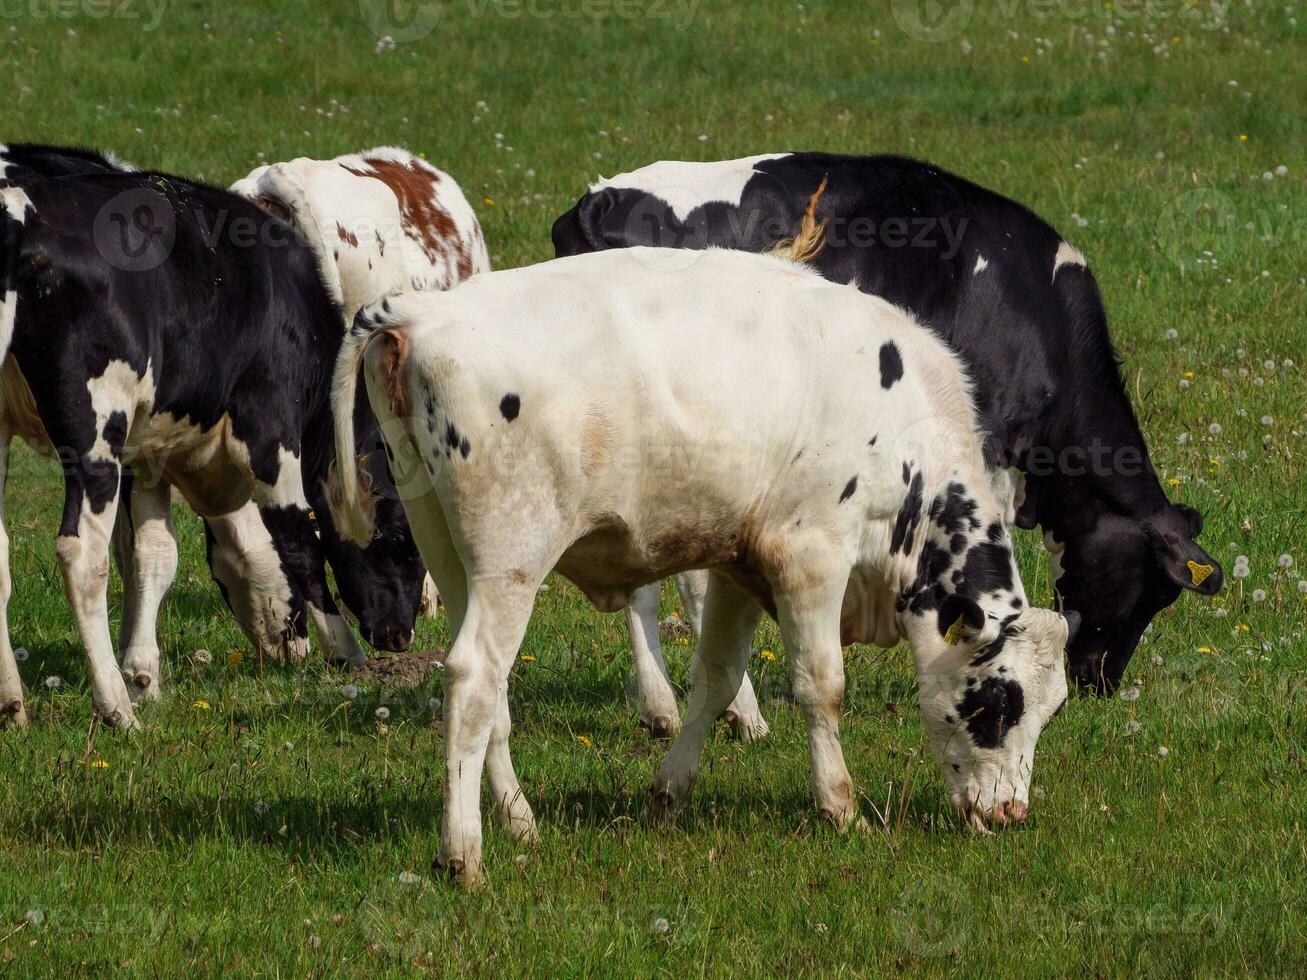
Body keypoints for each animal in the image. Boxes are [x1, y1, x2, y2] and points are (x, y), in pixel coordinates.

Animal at [0, 153, 420, 731]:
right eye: (402, 536)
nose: (401, 636)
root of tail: (22, 218)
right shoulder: (268, 436)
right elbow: (299, 539)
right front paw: (344, 649)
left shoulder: (149, 454)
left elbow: (154, 556)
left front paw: (144, 674)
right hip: (95, 434)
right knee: (83, 556)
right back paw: (115, 707)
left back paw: (13, 705)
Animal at [326, 246, 1071, 888]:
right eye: (1000, 701)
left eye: (1053, 709)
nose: (1011, 813)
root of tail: (425, 310)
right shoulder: (810, 557)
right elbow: (821, 686)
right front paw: (839, 806)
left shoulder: (741, 564)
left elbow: (716, 680)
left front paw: (669, 790)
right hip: (511, 560)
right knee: (475, 679)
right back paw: (464, 853)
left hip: (448, 552)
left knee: (491, 694)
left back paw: (518, 820)